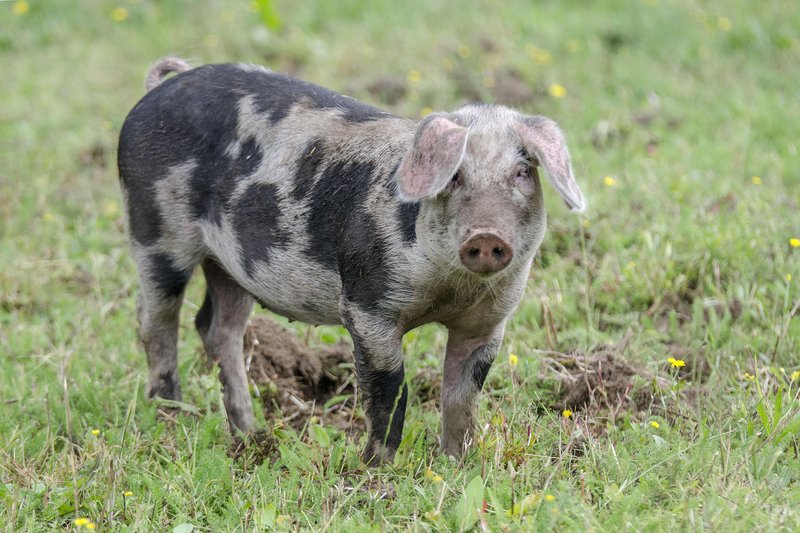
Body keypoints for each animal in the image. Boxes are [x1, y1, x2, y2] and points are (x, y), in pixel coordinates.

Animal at [115, 58, 584, 464]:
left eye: (522, 173)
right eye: (454, 176)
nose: (486, 236)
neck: (449, 289)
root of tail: (159, 89)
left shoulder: (488, 321)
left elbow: (461, 397)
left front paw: (456, 464)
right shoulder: (366, 306)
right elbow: (390, 391)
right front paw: (376, 471)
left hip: (233, 265)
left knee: (217, 328)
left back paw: (250, 437)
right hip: (155, 230)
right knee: (154, 321)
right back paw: (173, 419)